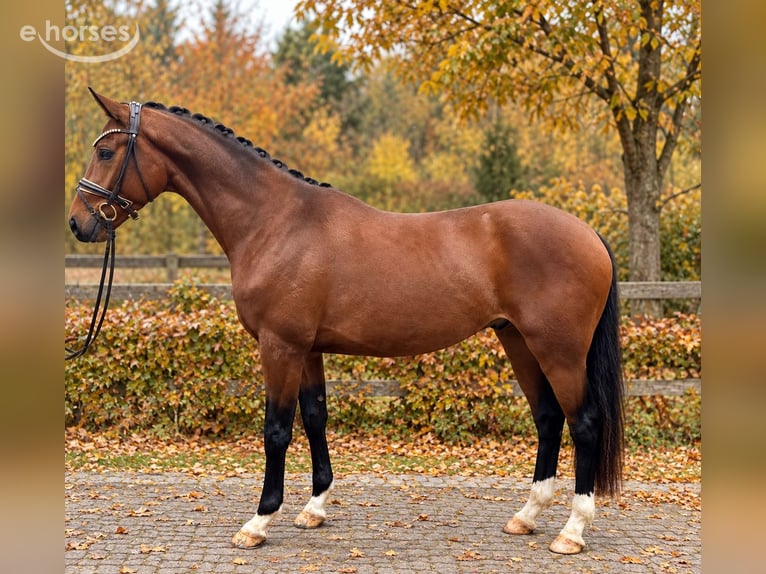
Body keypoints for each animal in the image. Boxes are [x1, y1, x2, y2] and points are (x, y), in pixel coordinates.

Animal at [67, 89, 624, 555]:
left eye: (107, 152)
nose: (79, 222)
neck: (276, 222)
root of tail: (588, 233)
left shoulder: (280, 346)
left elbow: (276, 429)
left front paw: (259, 521)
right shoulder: (308, 348)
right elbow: (315, 417)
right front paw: (314, 508)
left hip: (558, 350)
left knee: (583, 422)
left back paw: (572, 531)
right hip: (519, 342)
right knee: (548, 418)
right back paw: (526, 516)